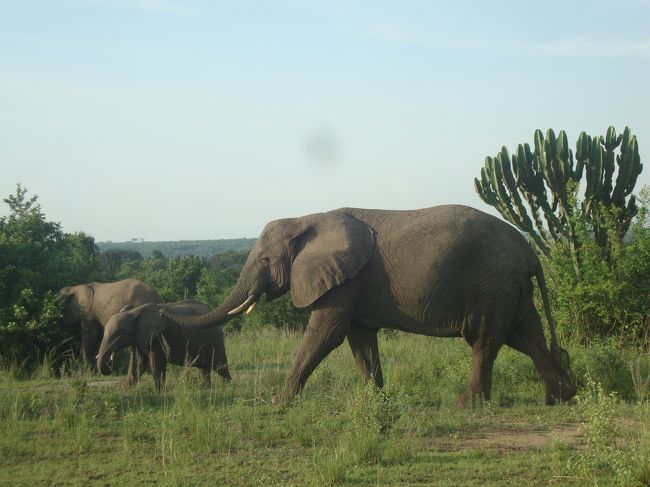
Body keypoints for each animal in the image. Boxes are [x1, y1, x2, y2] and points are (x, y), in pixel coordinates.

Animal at [95, 300, 229, 390]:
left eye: (120, 334)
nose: (110, 363)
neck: (133, 313)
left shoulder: (157, 338)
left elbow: (156, 364)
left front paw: (159, 392)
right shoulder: (138, 339)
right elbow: (137, 364)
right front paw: (128, 389)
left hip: (215, 341)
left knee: (220, 367)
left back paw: (227, 386)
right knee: (204, 369)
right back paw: (204, 388)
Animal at [162, 205, 572, 404]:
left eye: (264, 260)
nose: (164, 310)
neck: (307, 218)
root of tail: (529, 251)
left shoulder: (345, 279)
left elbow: (325, 334)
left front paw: (278, 401)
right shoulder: (351, 280)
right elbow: (359, 340)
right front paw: (377, 401)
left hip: (493, 284)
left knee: (486, 341)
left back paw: (467, 404)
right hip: (511, 288)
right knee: (527, 337)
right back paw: (561, 397)